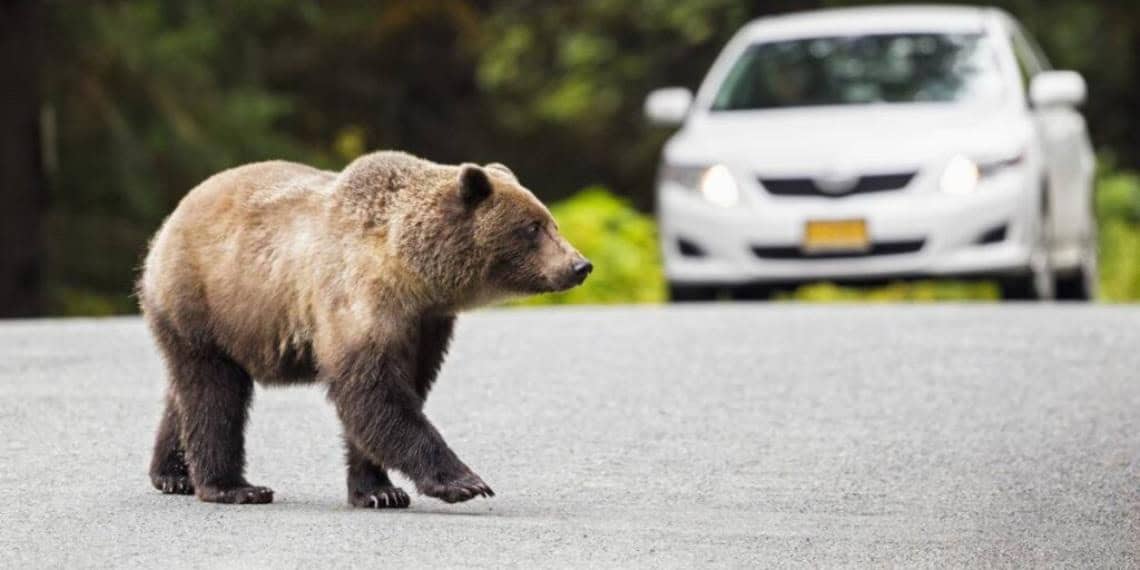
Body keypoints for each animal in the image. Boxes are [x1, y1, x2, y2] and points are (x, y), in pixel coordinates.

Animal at [137, 151, 592, 508]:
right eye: (532, 227)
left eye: (550, 221)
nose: (579, 265)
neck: (414, 274)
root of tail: (170, 220)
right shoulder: (357, 301)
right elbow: (374, 393)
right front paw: (464, 481)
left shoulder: (426, 324)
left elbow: (400, 392)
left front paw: (378, 490)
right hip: (204, 302)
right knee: (215, 394)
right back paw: (232, 486)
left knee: (187, 393)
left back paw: (173, 473)